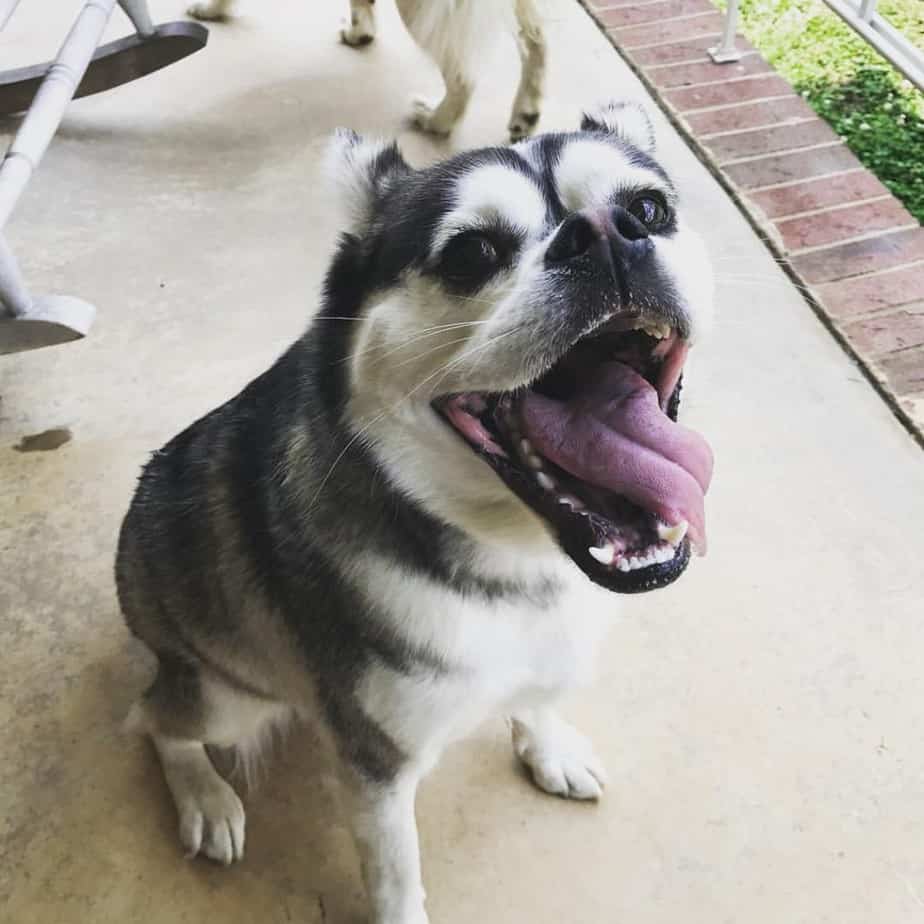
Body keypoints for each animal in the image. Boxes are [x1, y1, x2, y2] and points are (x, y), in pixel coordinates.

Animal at [117, 103, 716, 924]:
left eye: (650, 208)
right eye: (471, 253)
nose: (606, 231)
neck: (518, 560)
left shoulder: (550, 647)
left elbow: (537, 697)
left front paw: (549, 747)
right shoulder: (378, 764)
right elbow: (396, 875)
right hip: (224, 692)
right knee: (151, 720)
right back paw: (205, 796)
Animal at [188, 0, 548, 141]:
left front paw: (211, 10)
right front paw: (360, 32)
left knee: (464, 77)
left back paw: (434, 120)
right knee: (536, 39)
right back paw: (526, 113)